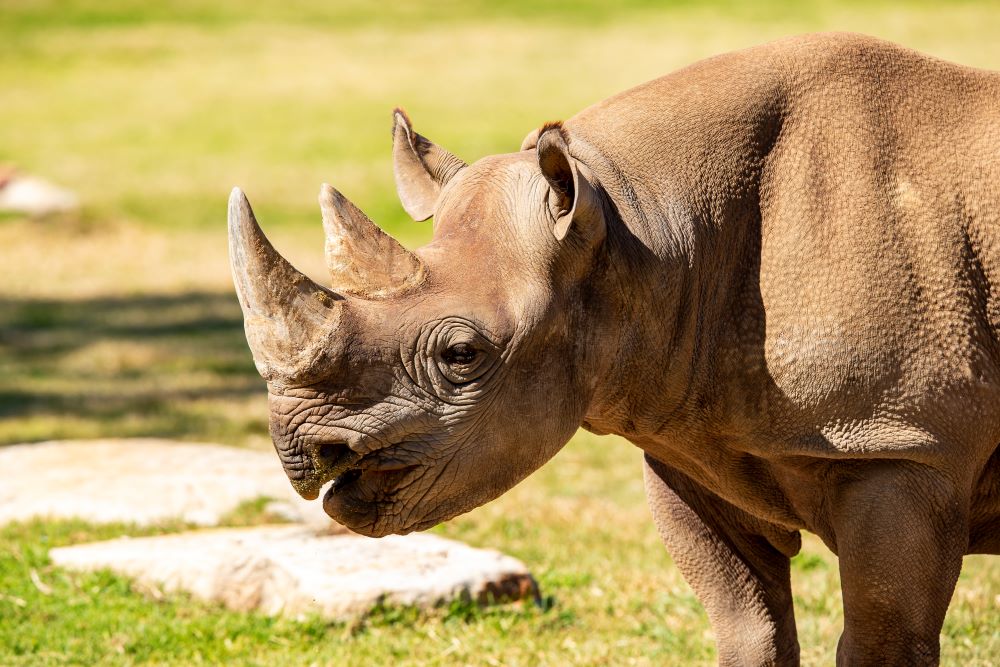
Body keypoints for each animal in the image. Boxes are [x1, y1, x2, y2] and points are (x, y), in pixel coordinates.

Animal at [228, 32, 1000, 665]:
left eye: (461, 355)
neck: (641, 232)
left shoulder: (903, 445)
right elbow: (747, 626)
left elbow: (884, 638)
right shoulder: (693, 436)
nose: (303, 451)